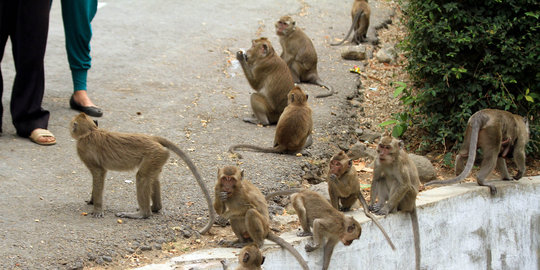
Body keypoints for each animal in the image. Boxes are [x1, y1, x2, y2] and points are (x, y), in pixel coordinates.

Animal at [69, 112, 215, 234]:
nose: (70, 129)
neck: (90, 131)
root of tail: (153, 138)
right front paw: (92, 201)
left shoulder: (83, 150)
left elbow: (99, 172)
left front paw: (97, 209)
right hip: (158, 157)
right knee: (153, 178)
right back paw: (155, 207)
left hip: (154, 154)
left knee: (142, 177)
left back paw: (143, 213)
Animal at [370, 135, 424, 270]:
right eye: (381, 146)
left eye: (388, 147)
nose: (381, 153)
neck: (390, 161)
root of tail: (413, 203)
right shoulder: (377, 160)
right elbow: (376, 179)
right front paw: (371, 204)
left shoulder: (400, 164)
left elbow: (404, 184)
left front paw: (386, 209)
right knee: (383, 177)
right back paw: (380, 204)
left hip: (408, 199)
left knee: (396, 181)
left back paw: (392, 209)